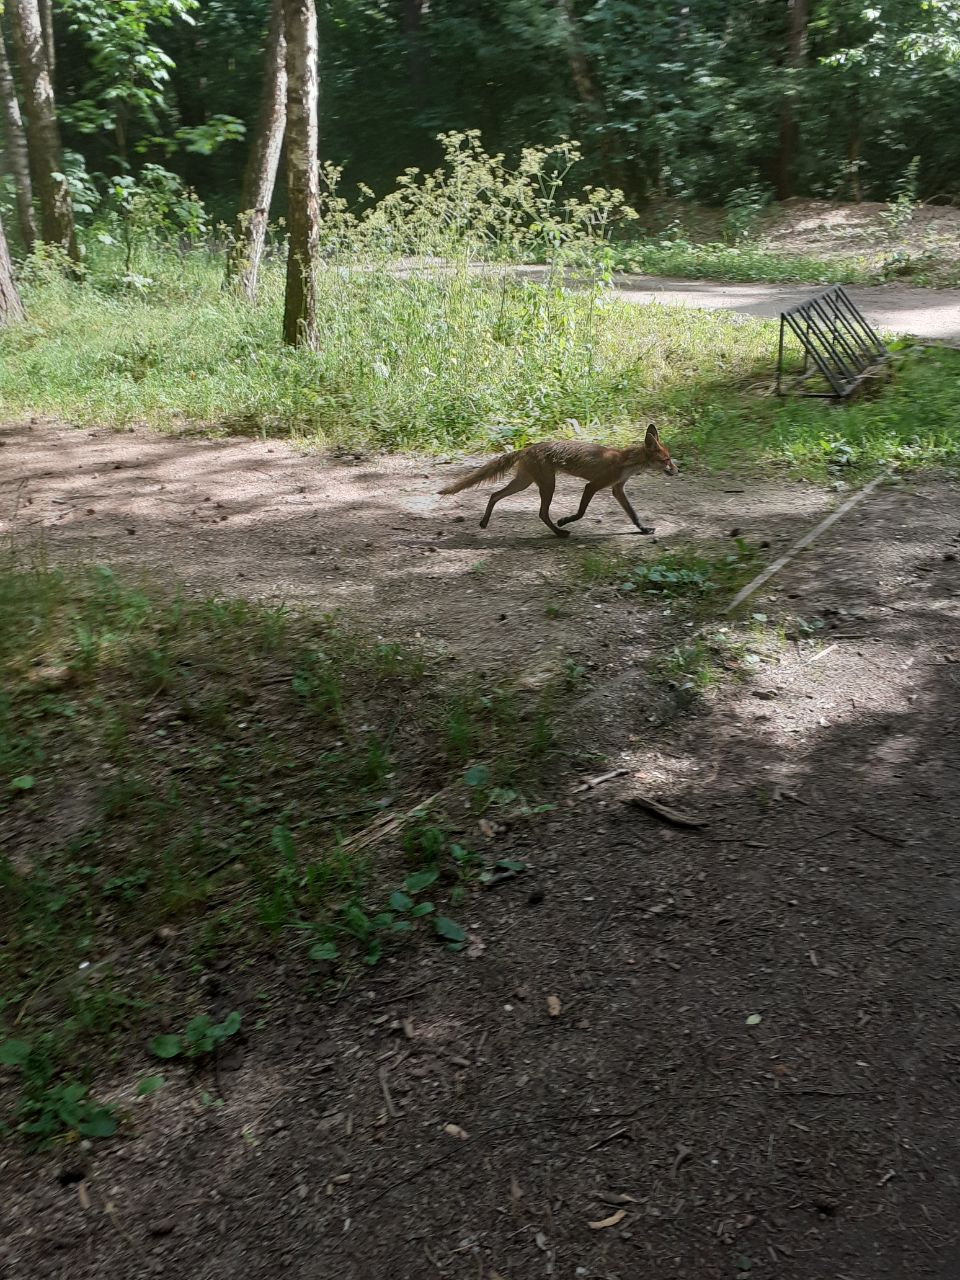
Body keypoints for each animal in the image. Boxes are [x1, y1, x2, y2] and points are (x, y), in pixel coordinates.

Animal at [440, 422, 680, 537]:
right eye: (666, 460)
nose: (677, 471)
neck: (625, 462)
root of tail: (527, 448)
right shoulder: (593, 485)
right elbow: (581, 512)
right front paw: (565, 520)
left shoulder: (617, 489)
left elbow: (633, 514)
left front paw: (644, 529)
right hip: (548, 485)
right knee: (541, 513)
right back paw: (559, 531)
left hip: (525, 483)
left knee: (494, 495)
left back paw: (484, 522)